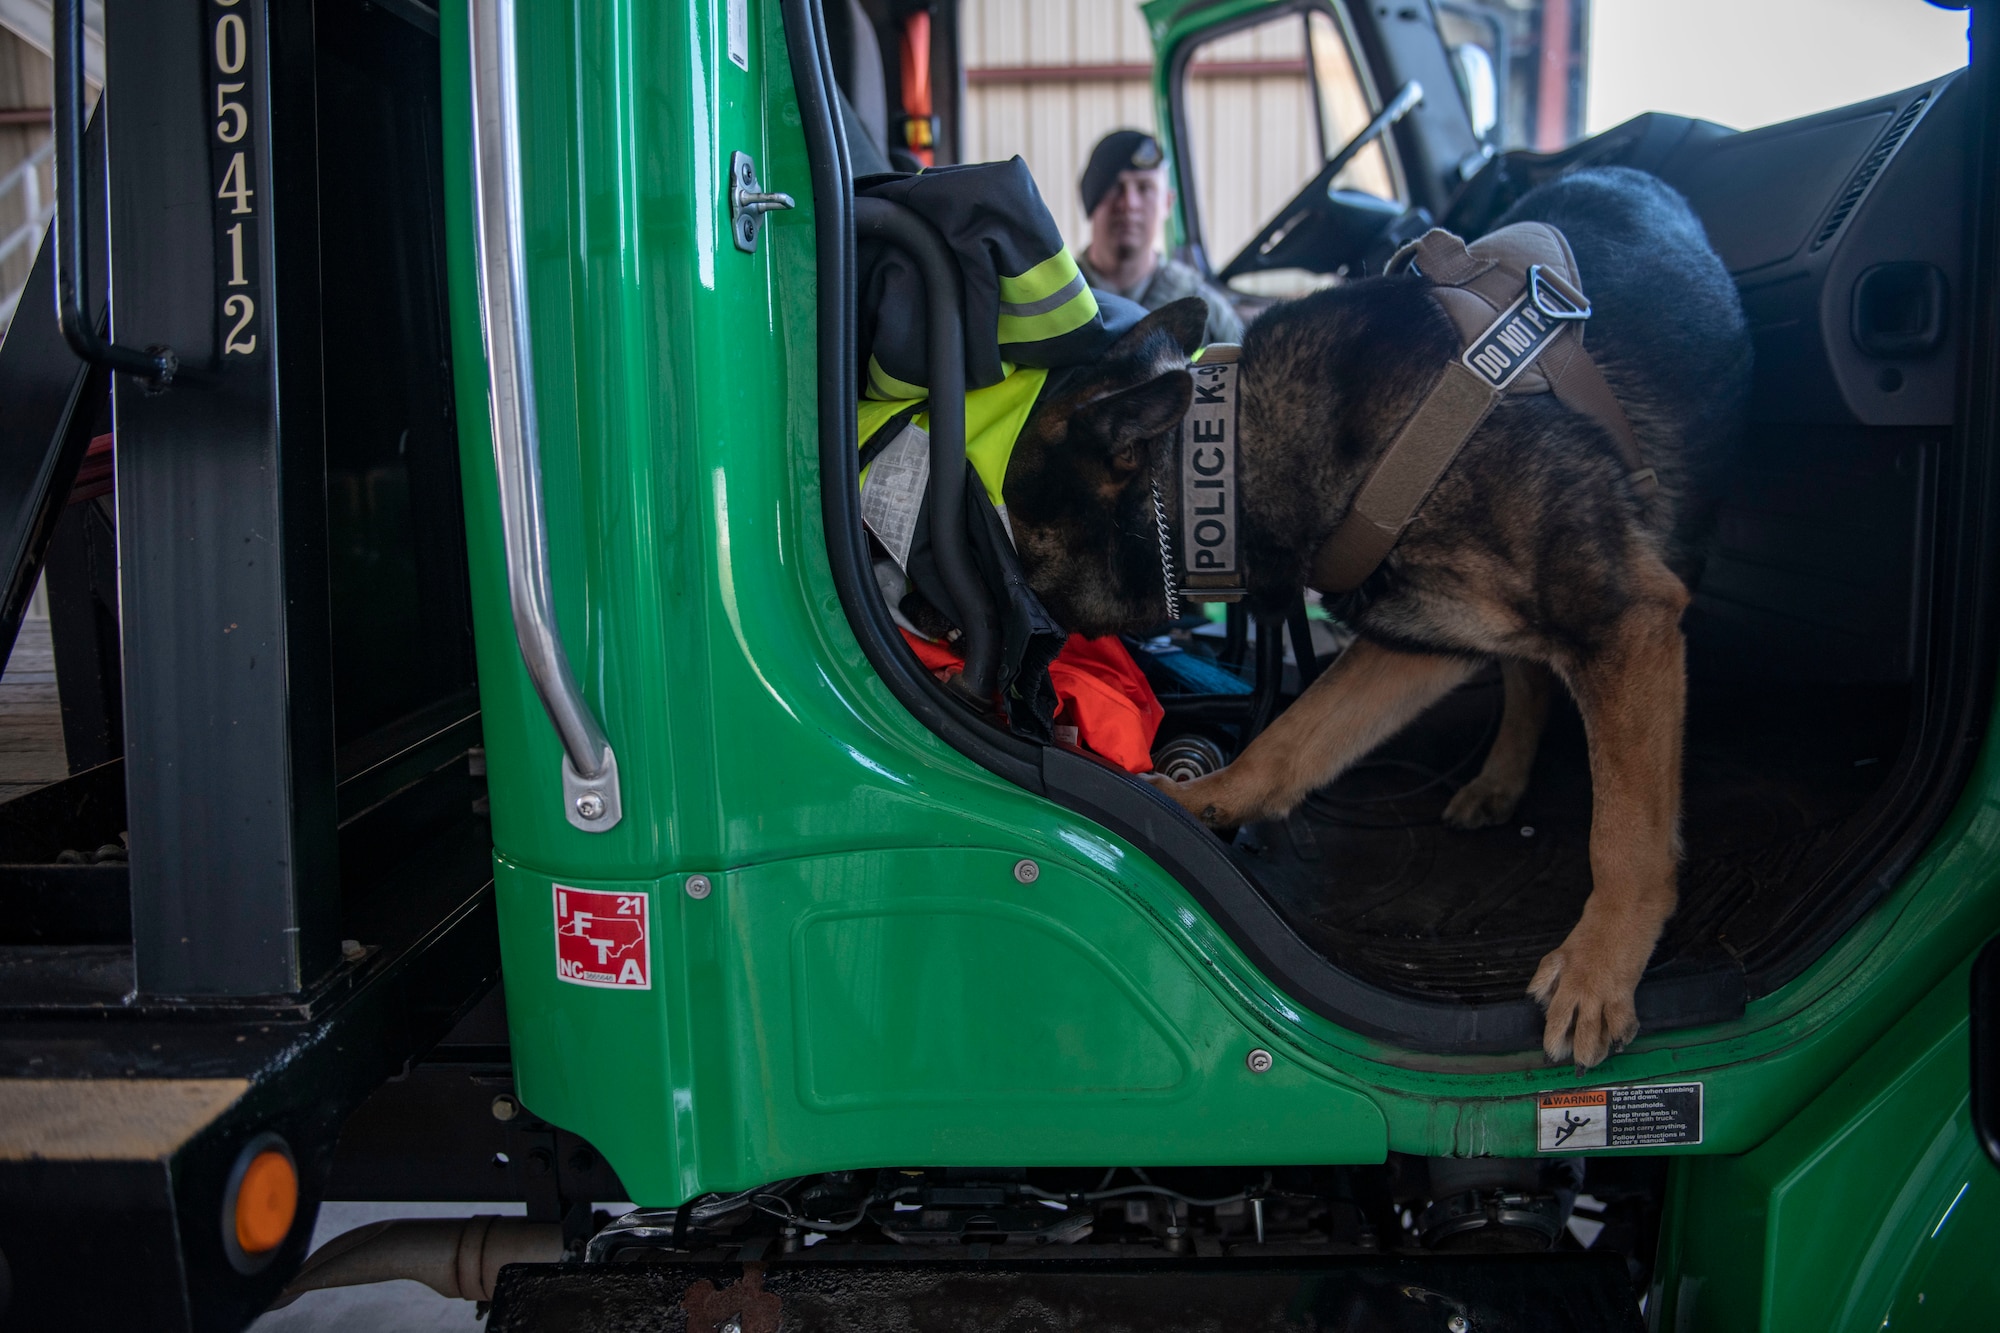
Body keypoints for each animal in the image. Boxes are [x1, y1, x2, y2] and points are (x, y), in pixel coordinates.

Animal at [1000, 166, 1752, 1064]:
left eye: (1013, 525)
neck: (1230, 458)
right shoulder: (1420, 642)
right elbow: (1295, 737)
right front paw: (1206, 798)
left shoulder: (1626, 622)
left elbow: (1626, 833)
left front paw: (1600, 966)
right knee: (1527, 675)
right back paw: (1498, 781)